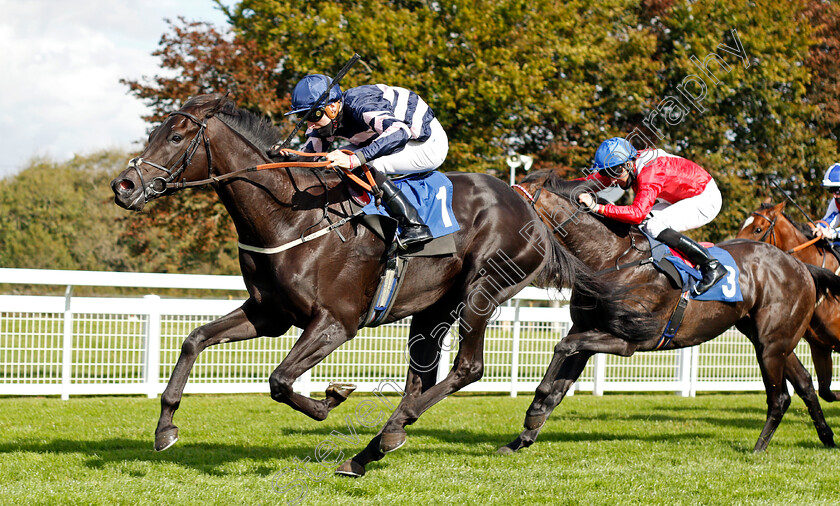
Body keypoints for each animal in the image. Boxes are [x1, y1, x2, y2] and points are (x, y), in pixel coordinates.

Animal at [110, 96, 656, 478]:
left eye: (177, 135)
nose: (124, 187)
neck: (290, 215)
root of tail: (527, 203)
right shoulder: (270, 314)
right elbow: (194, 340)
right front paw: (165, 428)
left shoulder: (336, 322)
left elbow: (281, 381)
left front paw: (331, 397)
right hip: (434, 306)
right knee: (423, 378)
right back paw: (374, 446)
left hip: (481, 290)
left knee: (467, 368)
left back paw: (389, 434)